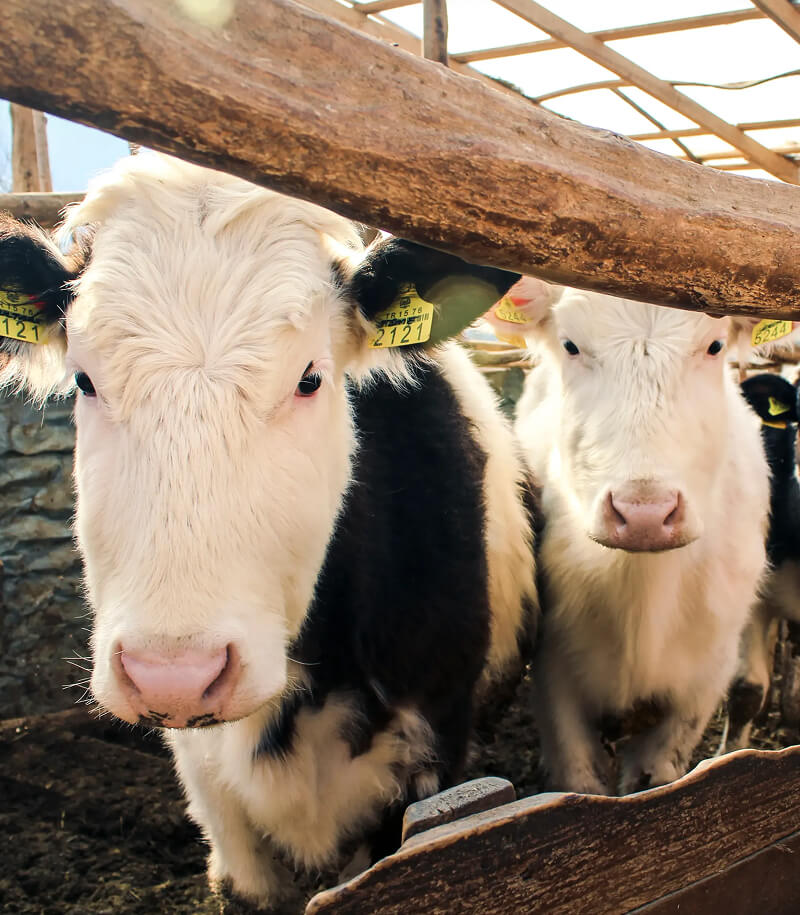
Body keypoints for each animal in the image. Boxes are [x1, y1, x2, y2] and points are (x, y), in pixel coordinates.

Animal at [489, 277, 769, 795]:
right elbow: (580, 782)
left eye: (715, 345)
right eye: (570, 344)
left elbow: (655, 778)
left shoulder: (706, 675)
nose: (645, 515)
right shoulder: (555, 675)